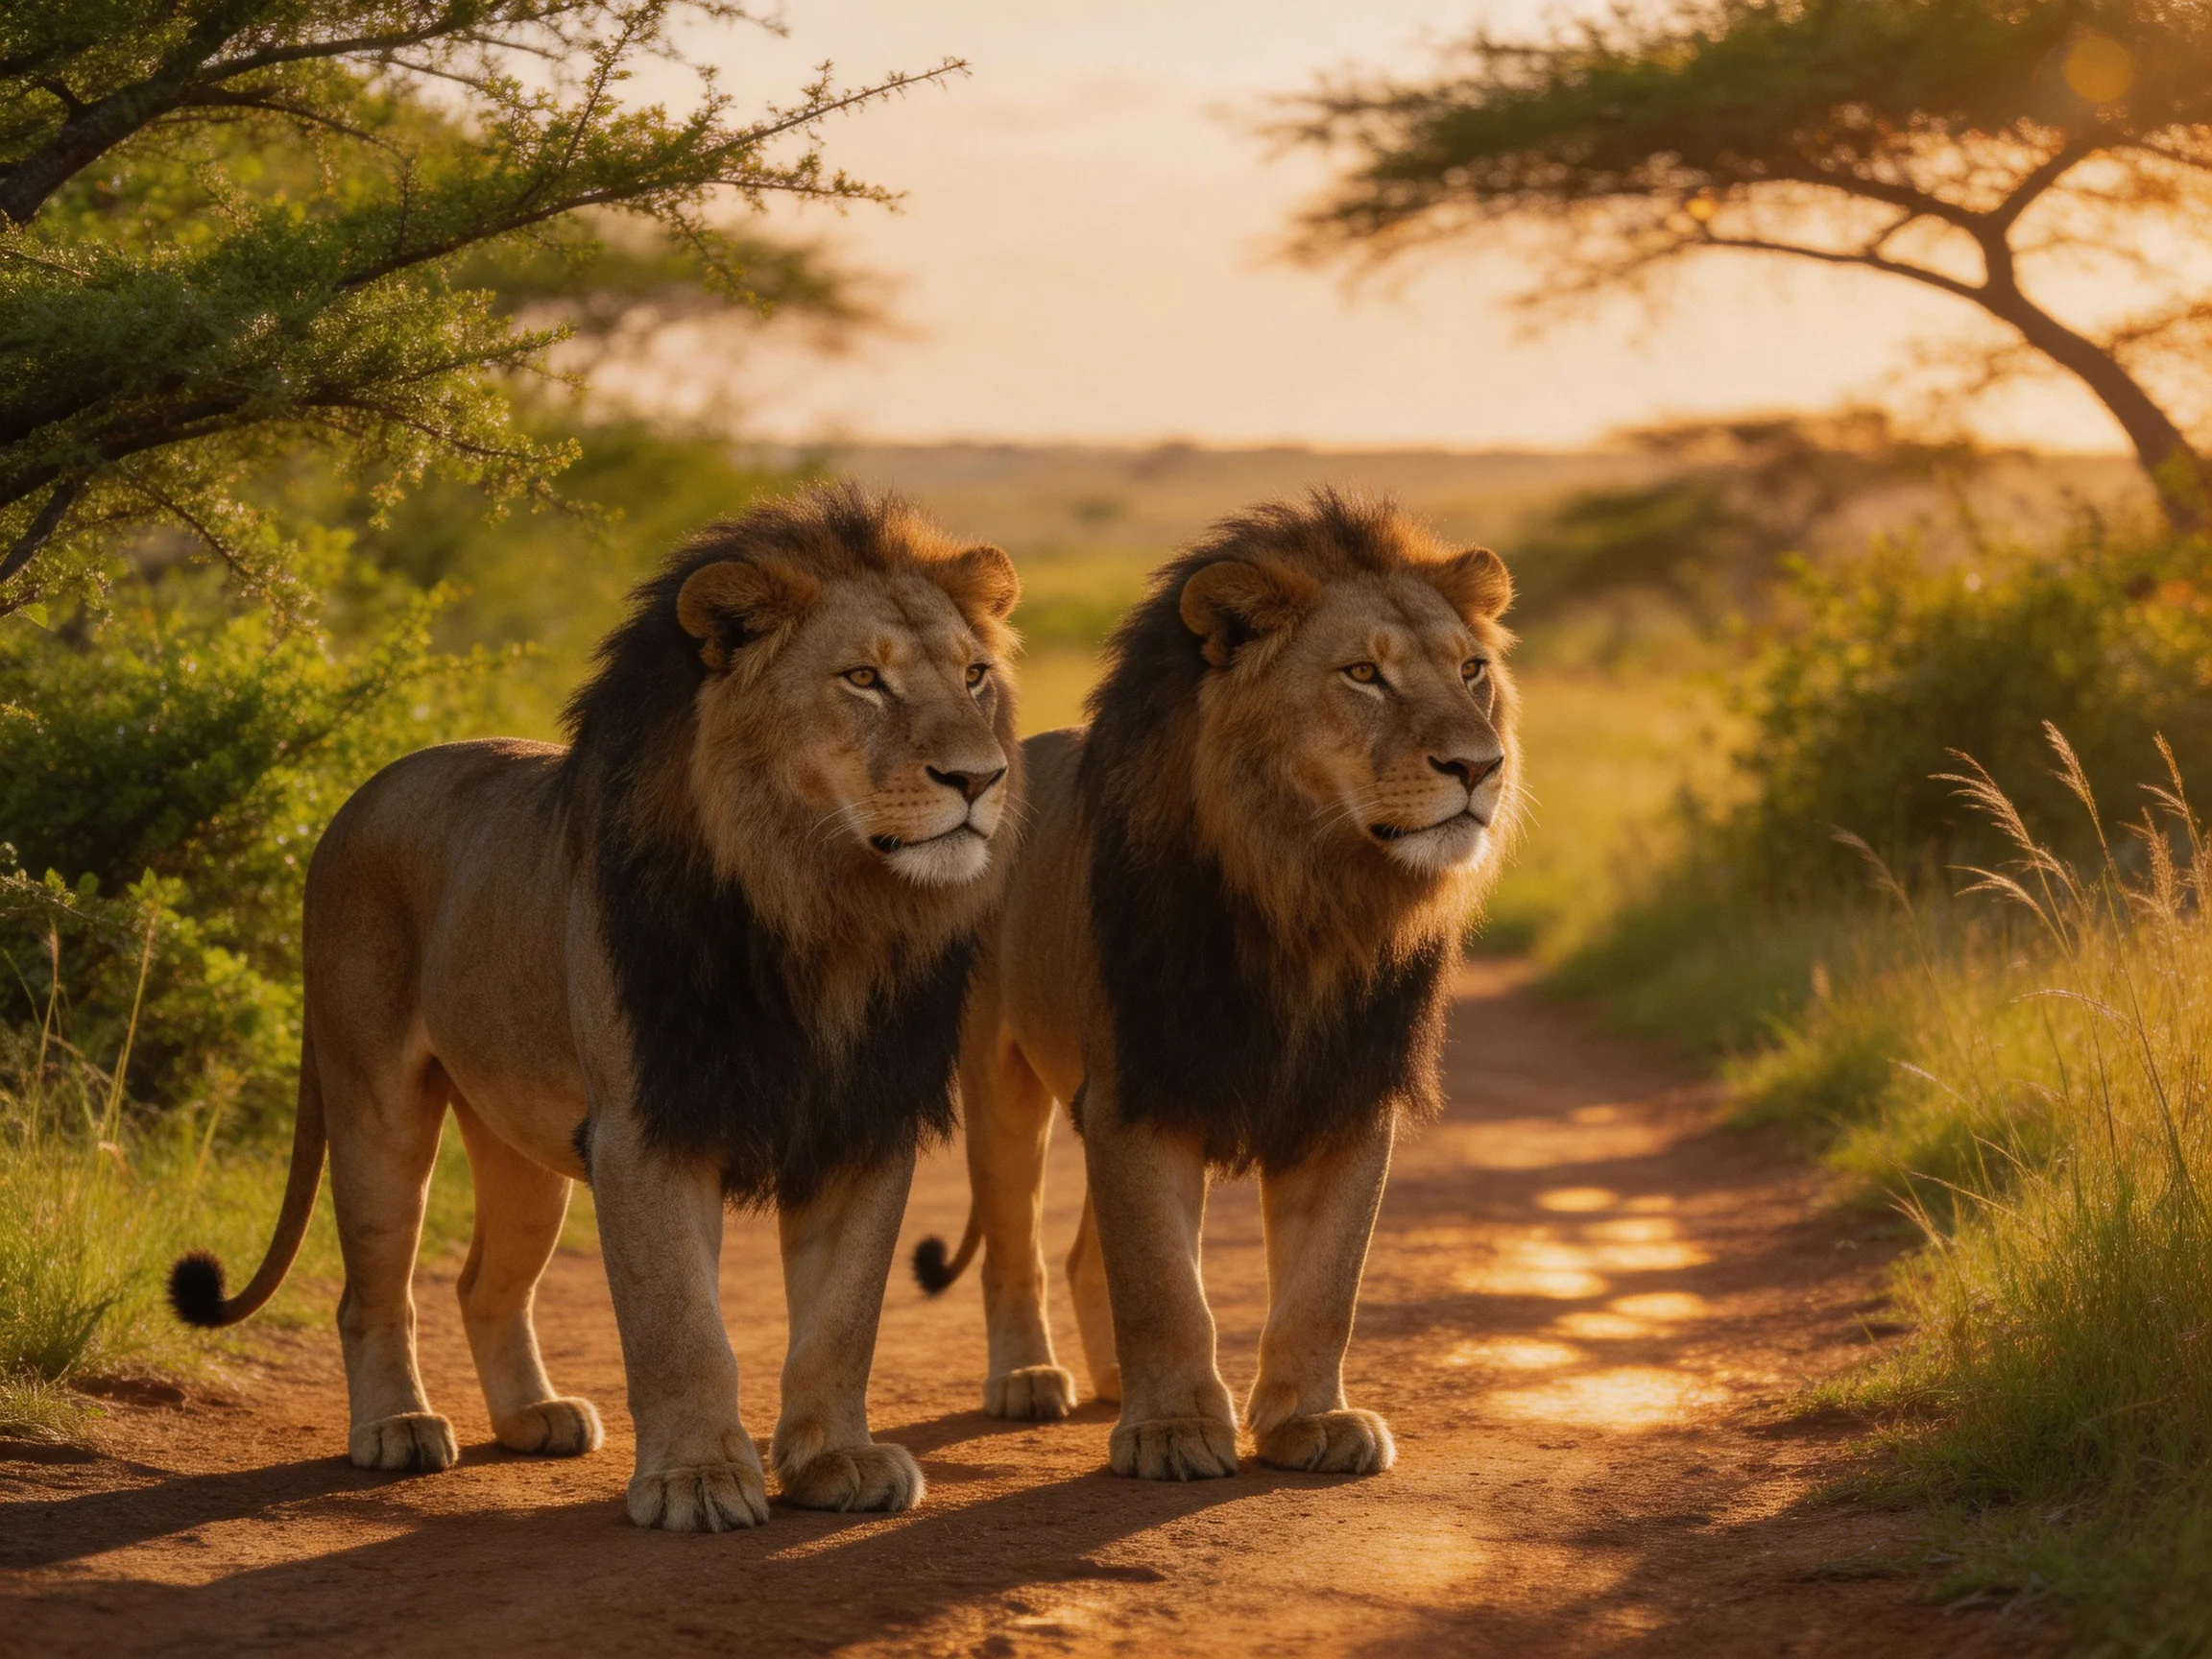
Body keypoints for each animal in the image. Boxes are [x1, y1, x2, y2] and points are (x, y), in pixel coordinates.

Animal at [170, 483, 1022, 1530]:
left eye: (976, 676)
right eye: (863, 678)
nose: (980, 778)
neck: (823, 910)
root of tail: (355, 799)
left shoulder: (861, 1123)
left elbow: (843, 1317)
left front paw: (835, 1461)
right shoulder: (646, 1124)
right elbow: (679, 1321)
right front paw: (696, 1479)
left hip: (519, 1142)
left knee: (484, 1284)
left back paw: (534, 1417)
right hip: (376, 1106)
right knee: (376, 1289)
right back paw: (396, 1428)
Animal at [915, 490, 1517, 1481]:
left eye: (1472, 671)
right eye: (1363, 674)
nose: (1481, 765)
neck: (1309, 892)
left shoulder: (1347, 1094)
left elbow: (1325, 1284)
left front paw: (1311, 1420)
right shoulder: (1140, 1089)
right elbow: (1162, 1281)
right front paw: (1171, 1430)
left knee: (1081, 1255)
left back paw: (1113, 1380)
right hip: (1001, 1079)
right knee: (1016, 1245)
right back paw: (1030, 1379)